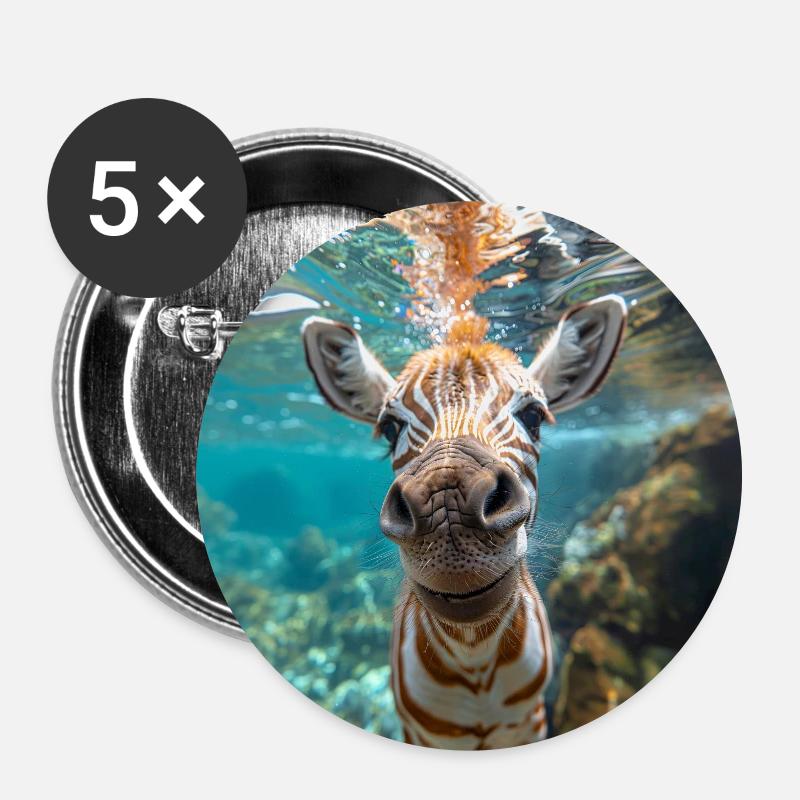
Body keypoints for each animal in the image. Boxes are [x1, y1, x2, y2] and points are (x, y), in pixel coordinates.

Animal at [302, 293, 627, 749]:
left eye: (534, 416)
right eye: (390, 428)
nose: (447, 506)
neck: (476, 658)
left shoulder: (530, 720)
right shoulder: (420, 733)